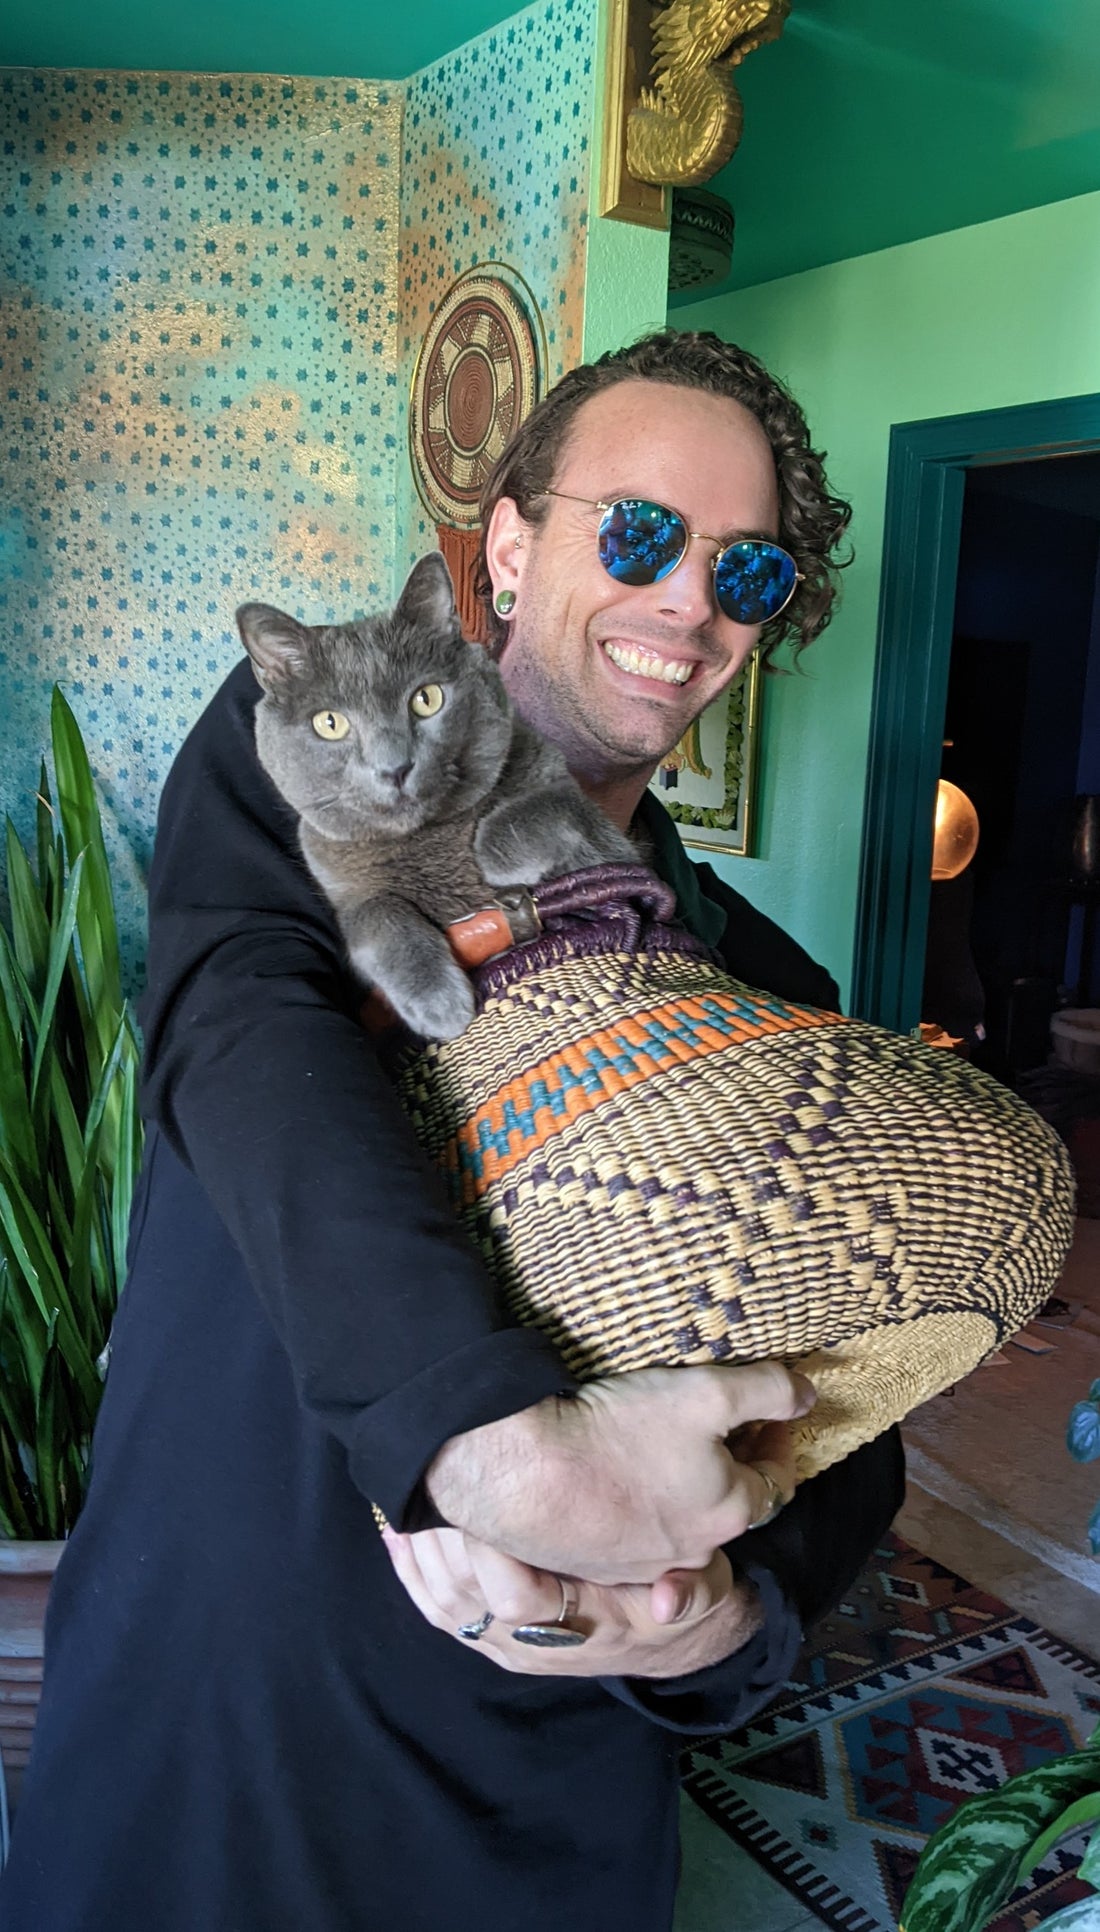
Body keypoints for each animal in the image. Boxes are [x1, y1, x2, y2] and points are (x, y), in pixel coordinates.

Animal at [237, 551, 635, 1041]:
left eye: (426, 699)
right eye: (330, 723)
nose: (394, 767)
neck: (429, 839)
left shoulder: (609, 845)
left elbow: (552, 806)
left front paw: (492, 853)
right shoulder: (344, 888)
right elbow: (376, 916)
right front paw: (439, 1004)